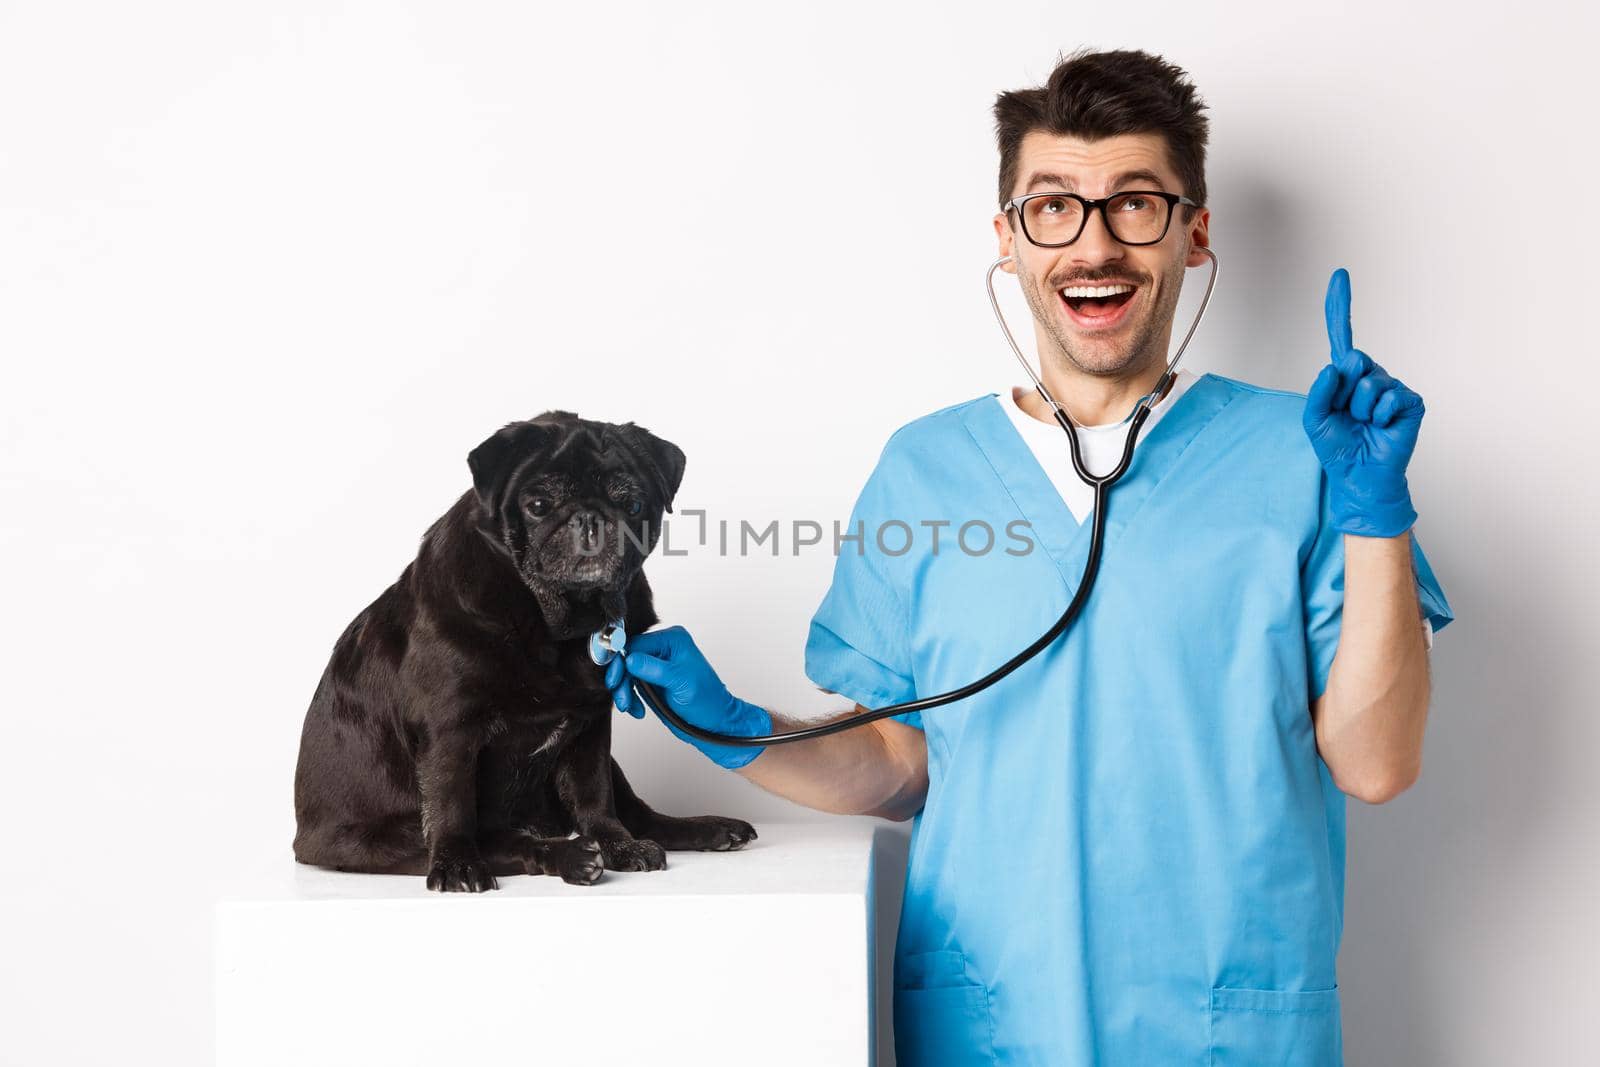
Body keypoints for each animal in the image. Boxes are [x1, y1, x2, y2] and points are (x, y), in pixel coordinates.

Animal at [294, 412, 755, 895]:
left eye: (632, 506)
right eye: (537, 505)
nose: (589, 518)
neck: (556, 625)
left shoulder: (590, 727)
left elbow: (595, 797)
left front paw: (618, 845)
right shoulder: (449, 730)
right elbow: (451, 804)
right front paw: (457, 864)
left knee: (638, 814)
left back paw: (702, 830)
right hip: (379, 839)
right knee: (499, 841)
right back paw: (568, 856)